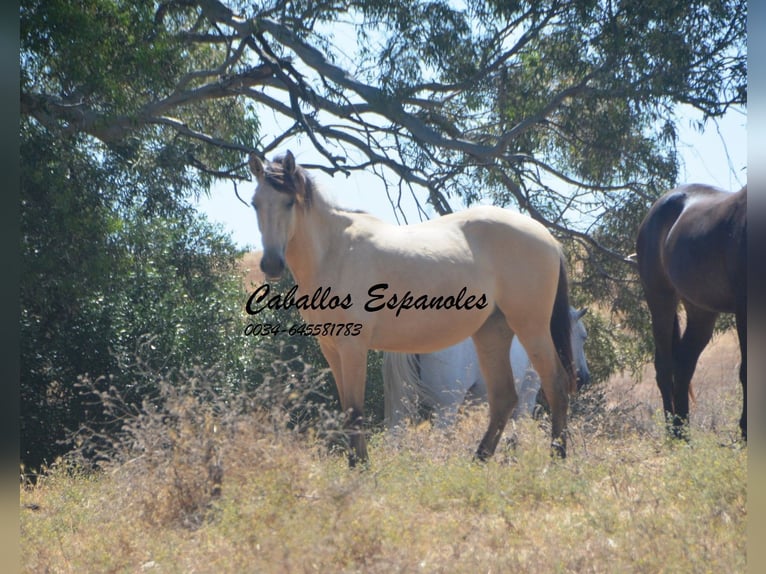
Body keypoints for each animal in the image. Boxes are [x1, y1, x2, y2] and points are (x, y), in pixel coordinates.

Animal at [635, 183, 747, 440]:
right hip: (660, 300)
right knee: (664, 367)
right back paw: (673, 433)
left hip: (700, 311)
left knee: (684, 363)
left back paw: (683, 429)